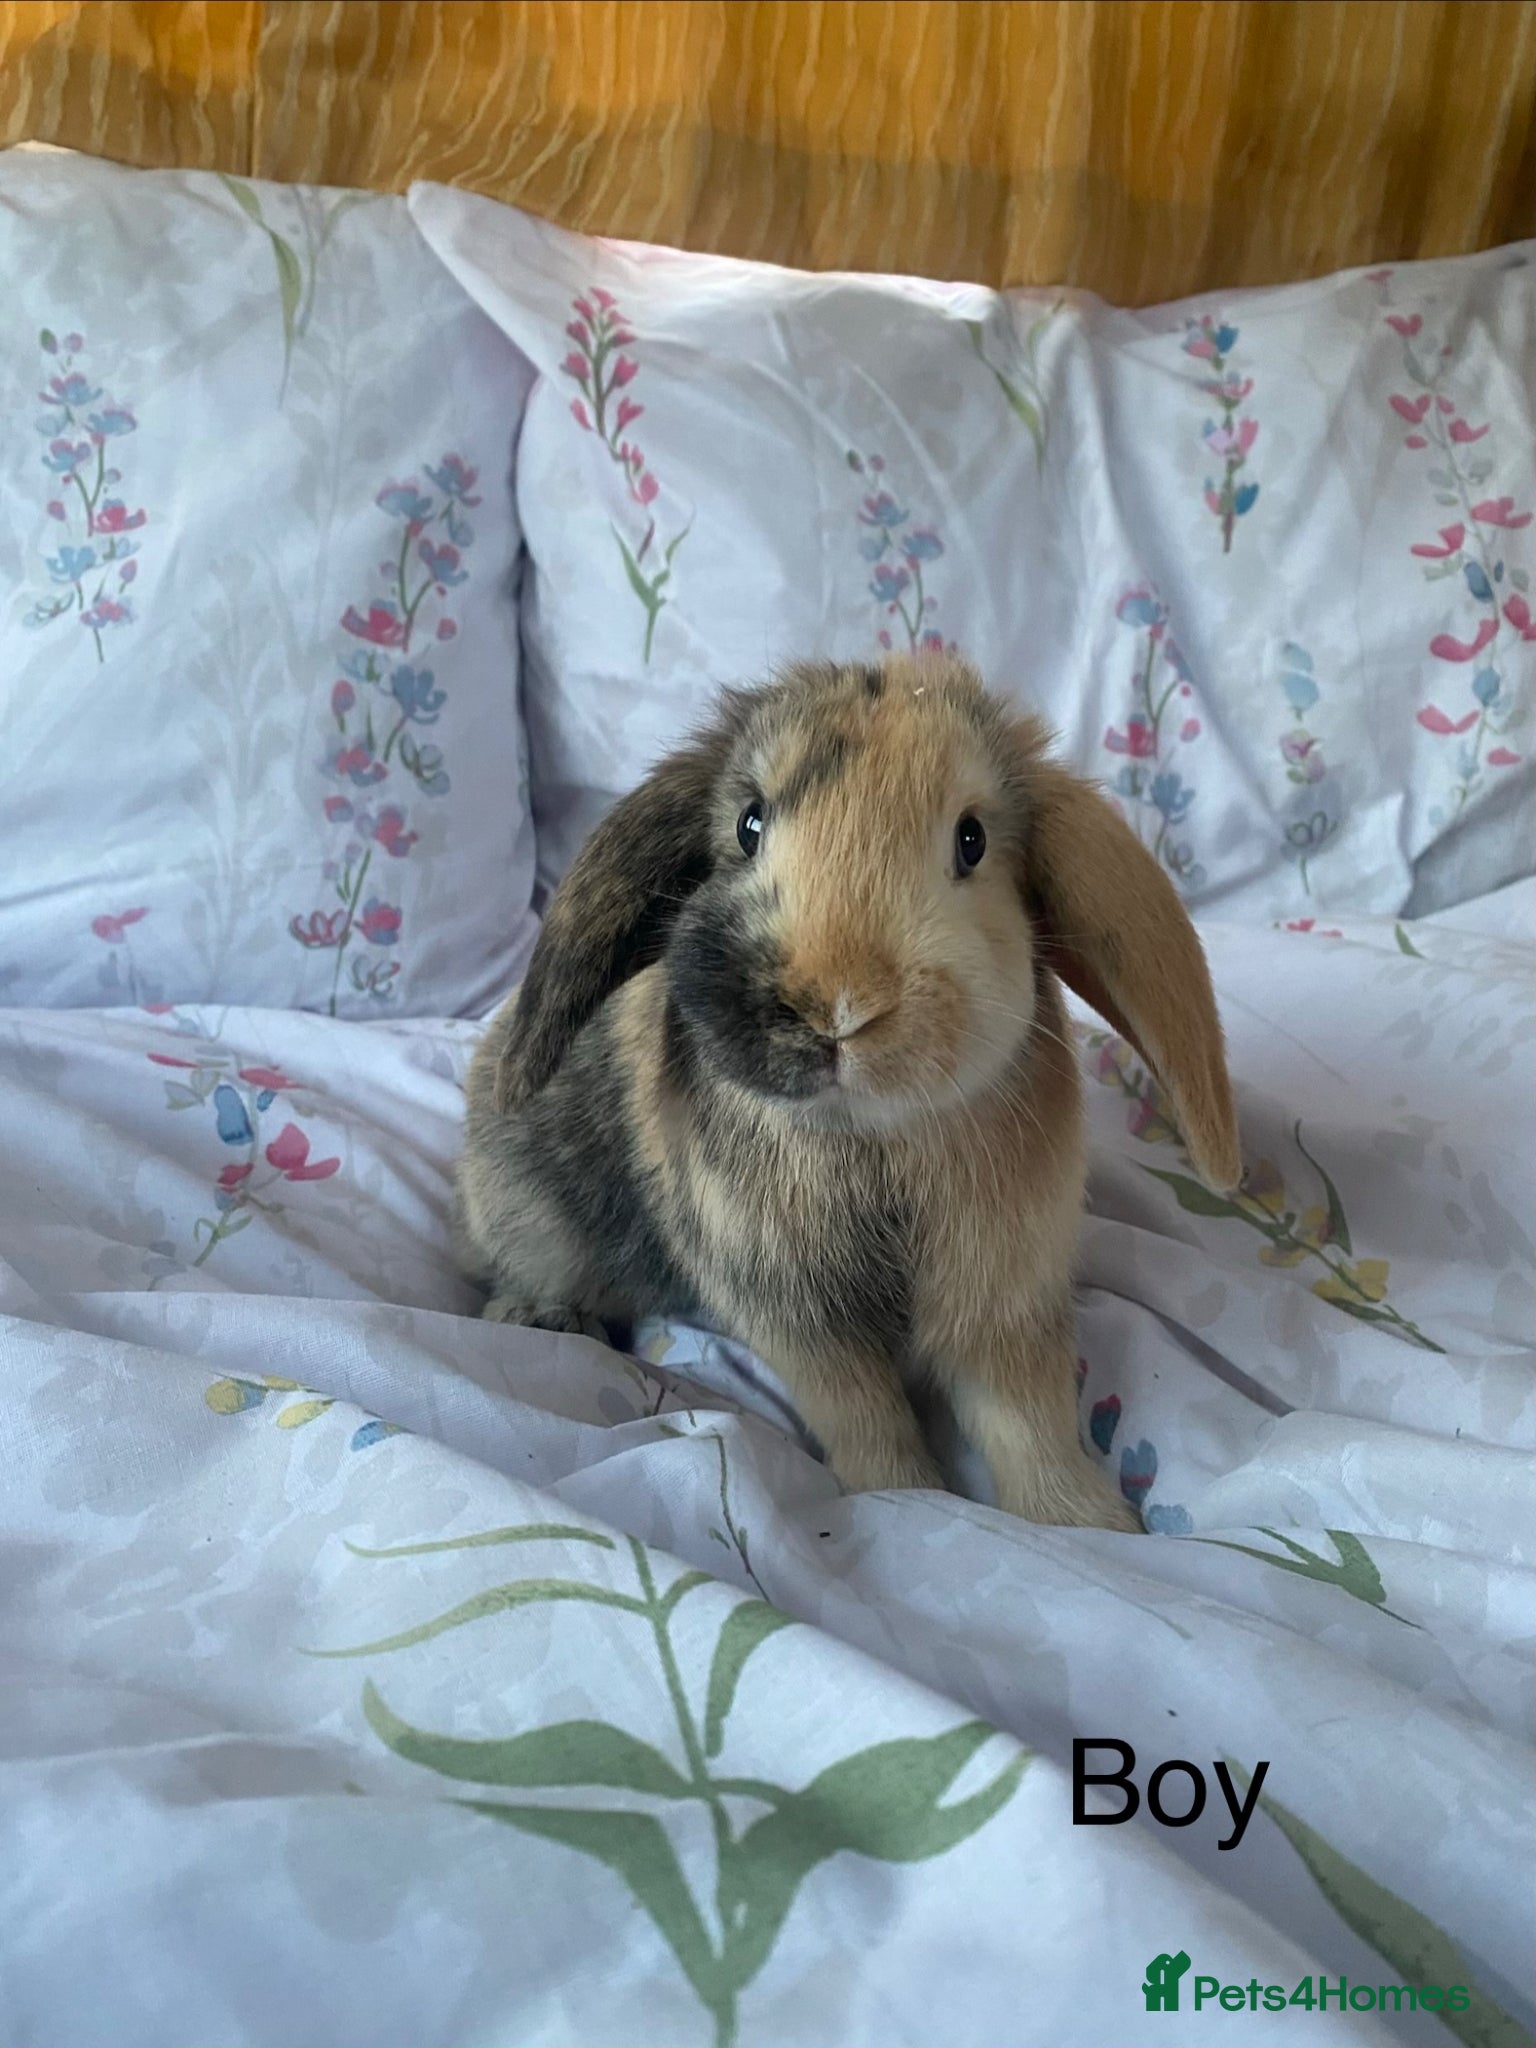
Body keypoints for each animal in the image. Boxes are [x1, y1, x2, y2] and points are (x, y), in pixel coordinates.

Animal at [458, 654, 1240, 1531]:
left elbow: (1026, 1416)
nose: (838, 1003)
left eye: (971, 839)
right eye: (749, 825)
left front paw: (1085, 1522)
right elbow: (864, 1416)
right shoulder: (801, 1320)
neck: (871, 1136)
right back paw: (540, 1318)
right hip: (537, 1227)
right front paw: (905, 1499)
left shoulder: (1003, 1302)